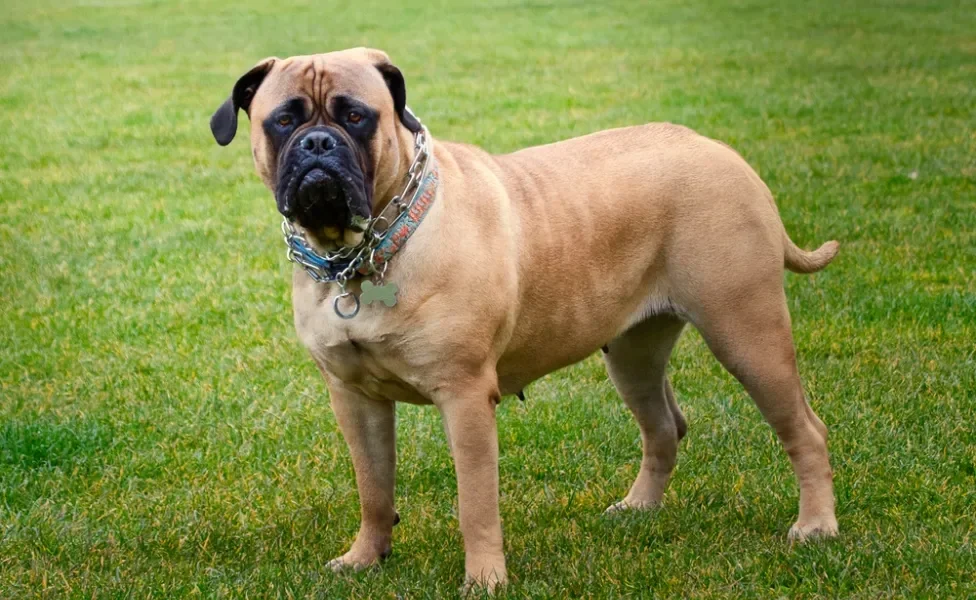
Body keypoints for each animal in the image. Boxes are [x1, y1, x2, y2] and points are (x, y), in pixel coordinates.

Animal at [208, 47, 840, 592]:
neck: (360, 252)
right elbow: (373, 487)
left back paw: (815, 526)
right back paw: (638, 508)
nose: (317, 144)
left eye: (357, 117)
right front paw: (365, 557)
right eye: (282, 121)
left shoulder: (464, 396)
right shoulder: (353, 397)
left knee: (804, 430)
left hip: (747, 333)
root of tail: (722, 151)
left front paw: (484, 580)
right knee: (664, 427)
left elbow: (475, 502)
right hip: (633, 353)